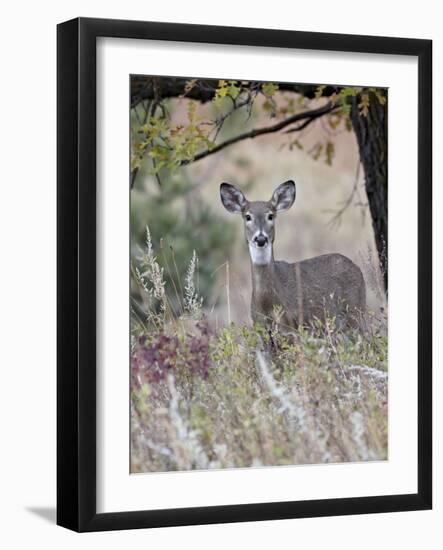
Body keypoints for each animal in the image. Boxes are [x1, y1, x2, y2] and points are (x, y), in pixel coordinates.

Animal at [219, 180, 368, 332]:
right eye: (248, 216)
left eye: (270, 216)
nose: (261, 239)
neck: (267, 303)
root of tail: (357, 268)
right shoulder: (259, 325)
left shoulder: (292, 325)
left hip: (356, 311)